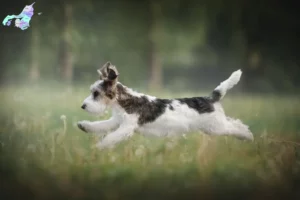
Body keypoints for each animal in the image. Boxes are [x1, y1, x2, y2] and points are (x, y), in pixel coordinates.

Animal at [77, 61, 253, 149]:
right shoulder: (117, 121)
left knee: (237, 127)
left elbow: (111, 137)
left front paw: (100, 146)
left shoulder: (127, 127)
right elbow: (100, 125)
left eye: (96, 93)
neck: (125, 101)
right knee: (237, 123)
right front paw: (84, 126)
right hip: (213, 126)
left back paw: (248, 136)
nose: (83, 106)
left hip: (216, 127)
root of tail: (211, 98)